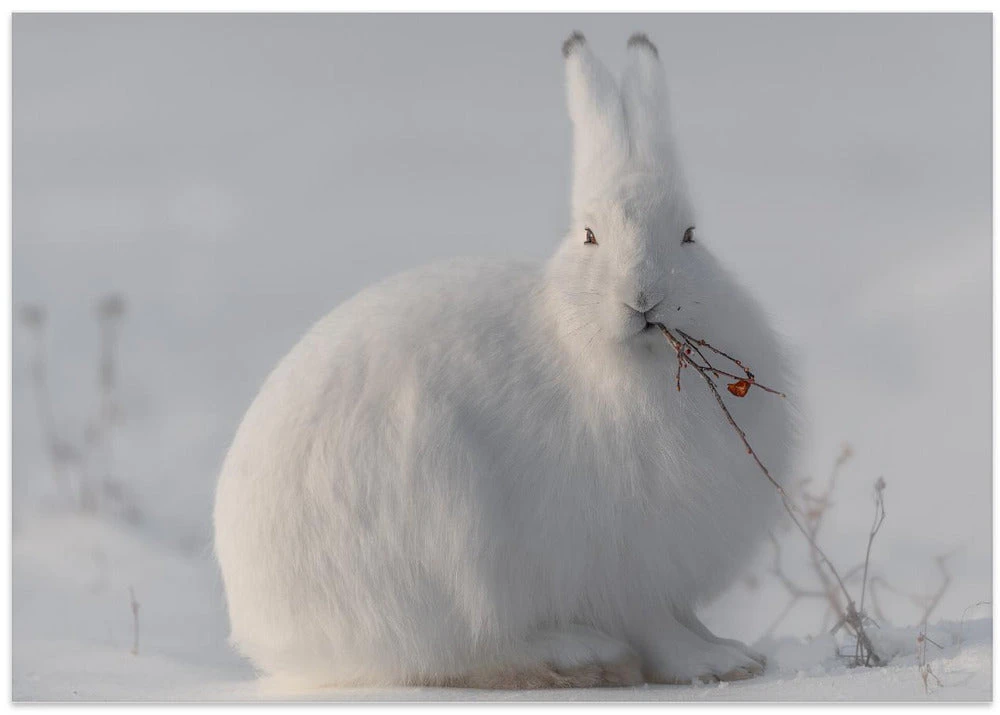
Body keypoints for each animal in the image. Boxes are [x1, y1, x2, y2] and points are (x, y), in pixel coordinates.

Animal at [213, 31, 796, 690]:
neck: (613, 359)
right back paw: (580, 652)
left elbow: (684, 616)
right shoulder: (619, 561)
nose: (644, 298)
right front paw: (710, 665)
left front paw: (735, 653)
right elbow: (656, 628)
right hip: (445, 540)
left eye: (690, 236)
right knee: (462, 651)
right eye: (590, 236)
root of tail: (268, 636)